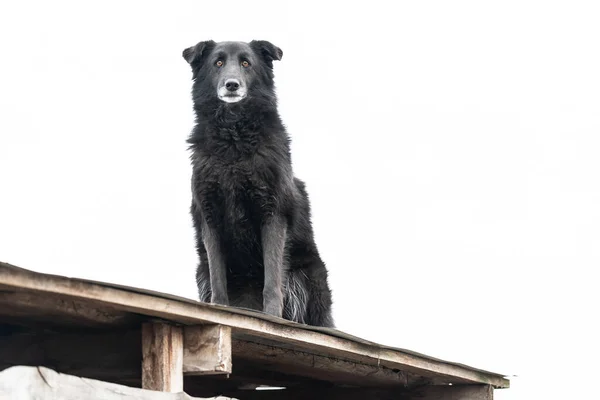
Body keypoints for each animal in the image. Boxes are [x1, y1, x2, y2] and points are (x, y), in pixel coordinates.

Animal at [183, 39, 332, 328]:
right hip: (200, 270)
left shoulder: (272, 214)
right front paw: (220, 310)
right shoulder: (210, 218)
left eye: (246, 63)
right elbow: (219, 279)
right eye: (218, 62)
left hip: (310, 277)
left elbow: (272, 279)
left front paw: (272, 317)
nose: (231, 85)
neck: (233, 141)